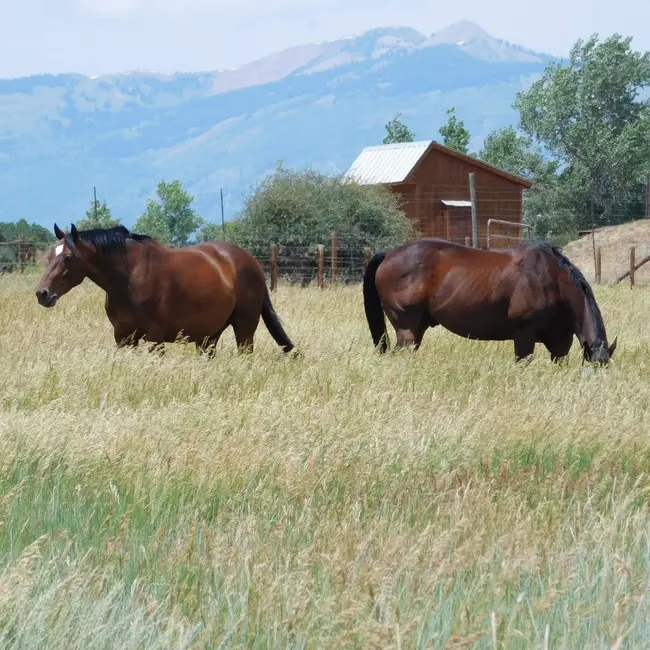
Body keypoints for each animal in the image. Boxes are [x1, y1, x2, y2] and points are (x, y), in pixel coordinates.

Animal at [35, 223, 296, 356]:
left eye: (68, 258)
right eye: (49, 256)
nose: (42, 293)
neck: (128, 280)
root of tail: (251, 261)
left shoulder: (155, 338)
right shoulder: (123, 338)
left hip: (244, 328)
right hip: (209, 337)